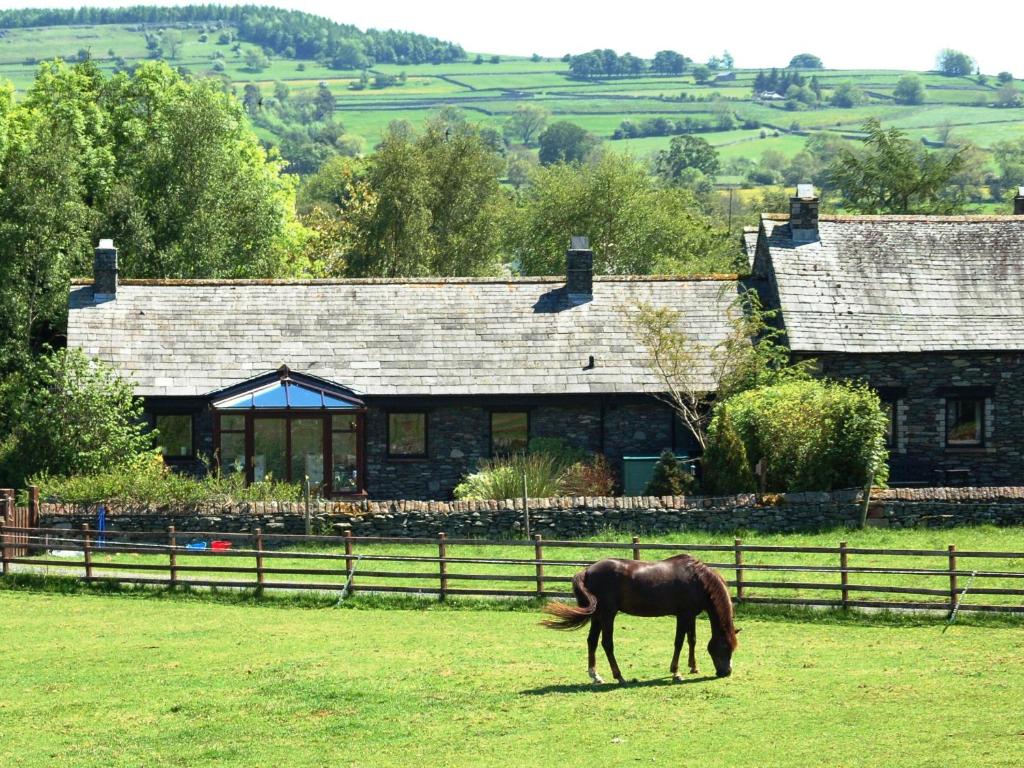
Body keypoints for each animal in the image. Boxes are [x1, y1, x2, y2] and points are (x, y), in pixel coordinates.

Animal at [540, 552, 741, 684]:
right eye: (724, 647)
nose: (726, 672)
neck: (698, 579)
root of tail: (587, 571)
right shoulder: (682, 615)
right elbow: (679, 642)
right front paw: (676, 672)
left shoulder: (690, 615)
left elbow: (692, 639)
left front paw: (693, 667)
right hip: (607, 614)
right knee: (607, 643)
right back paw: (619, 676)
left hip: (597, 615)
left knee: (592, 641)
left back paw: (595, 676)